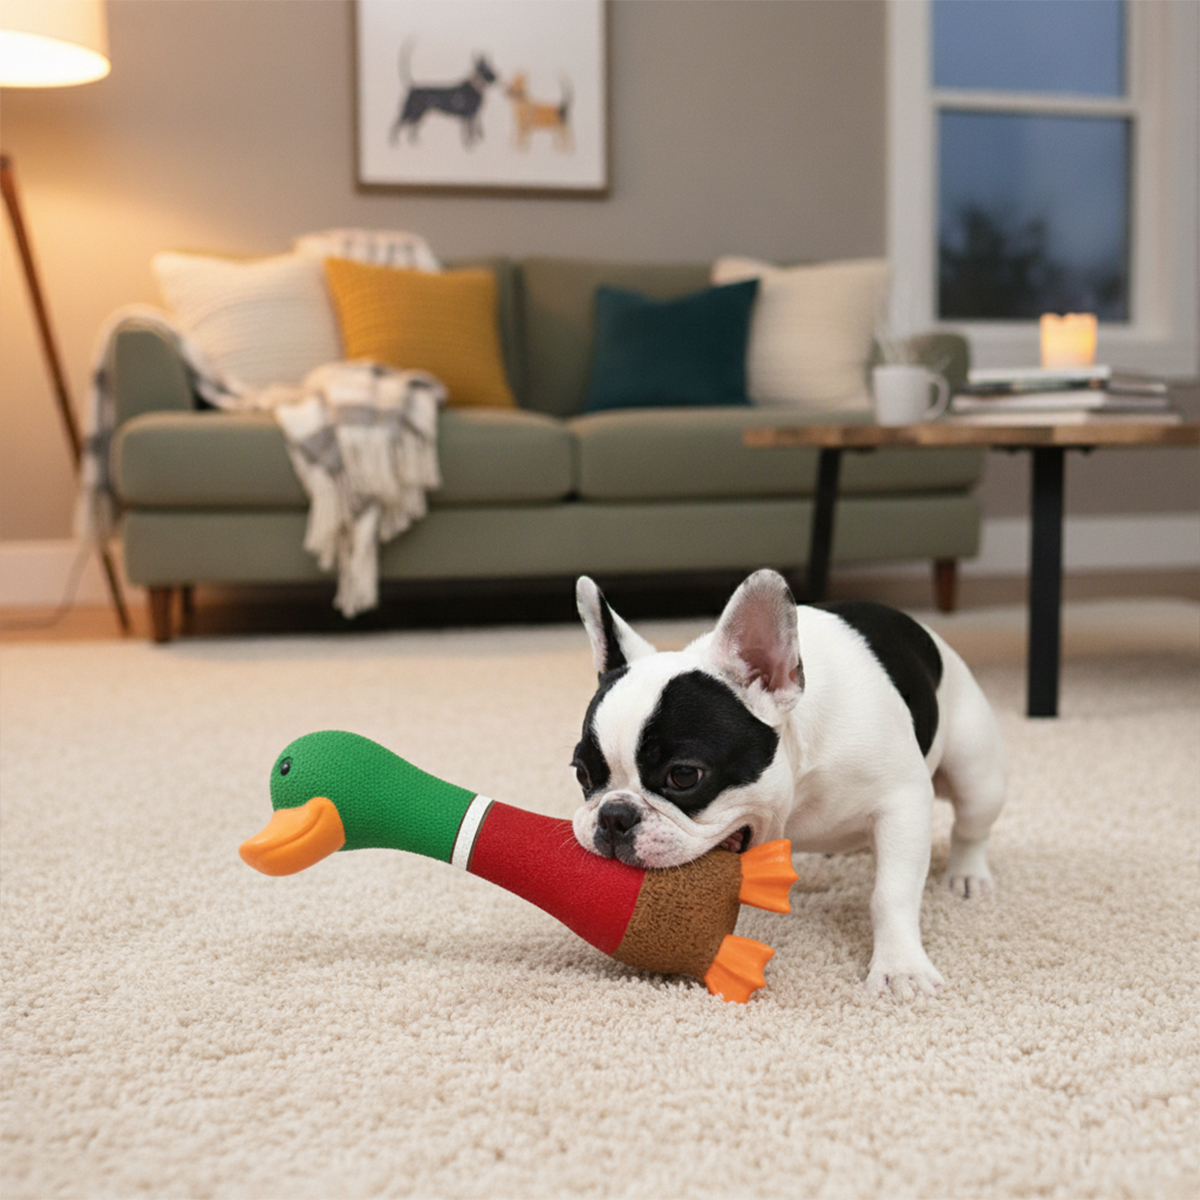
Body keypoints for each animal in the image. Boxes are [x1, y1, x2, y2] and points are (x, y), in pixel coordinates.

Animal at [571, 569, 1008, 998]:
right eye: (582, 773)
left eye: (683, 775)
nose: (614, 816)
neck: (800, 782)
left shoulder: (902, 803)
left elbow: (892, 893)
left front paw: (901, 968)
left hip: (976, 774)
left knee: (971, 825)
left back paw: (968, 875)